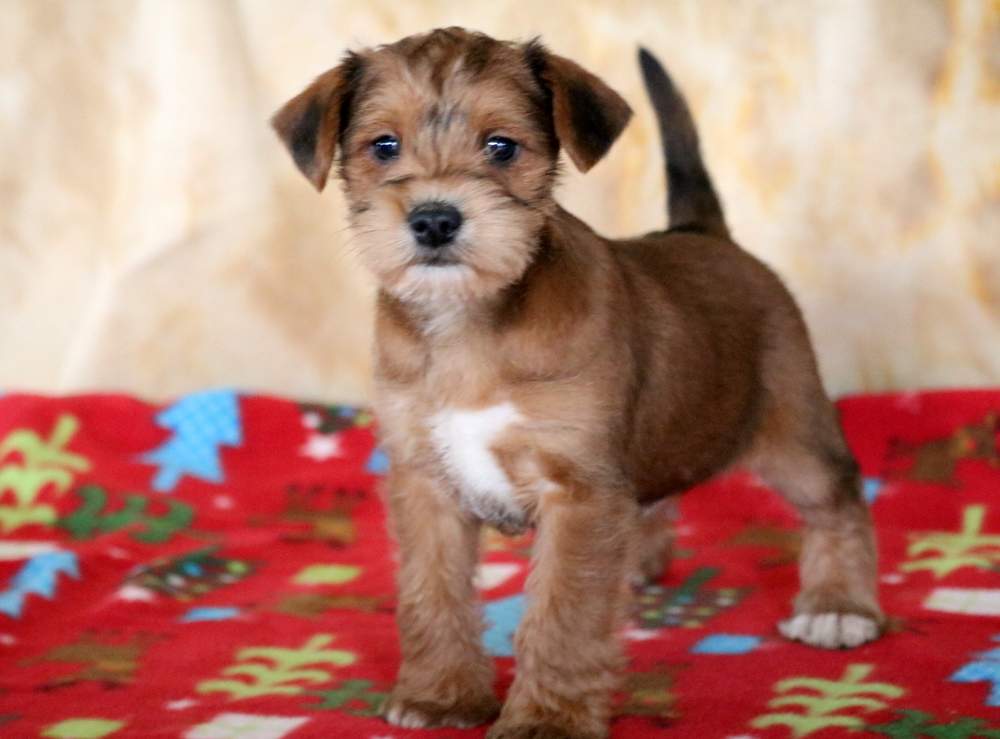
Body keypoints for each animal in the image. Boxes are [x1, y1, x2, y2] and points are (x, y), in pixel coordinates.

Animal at [272, 27, 884, 739]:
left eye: (500, 146)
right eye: (384, 146)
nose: (434, 220)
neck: (468, 321)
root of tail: (705, 233)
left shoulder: (580, 493)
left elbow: (562, 616)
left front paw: (547, 718)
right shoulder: (426, 483)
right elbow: (432, 594)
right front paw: (441, 694)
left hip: (794, 433)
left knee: (838, 498)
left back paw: (839, 606)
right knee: (657, 490)